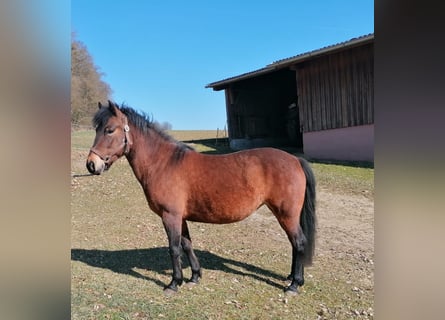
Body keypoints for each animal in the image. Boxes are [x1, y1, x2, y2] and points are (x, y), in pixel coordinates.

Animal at [86, 101, 316, 294]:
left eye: (109, 130)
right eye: (97, 129)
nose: (91, 164)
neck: (163, 163)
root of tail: (295, 159)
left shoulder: (170, 216)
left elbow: (174, 248)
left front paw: (174, 283)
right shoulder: (180, 217)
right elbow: (187, 245)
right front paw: (194, 276)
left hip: (285, 214)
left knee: (299, 242)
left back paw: (294, 284)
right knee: (294, 243)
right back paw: (291, 278)